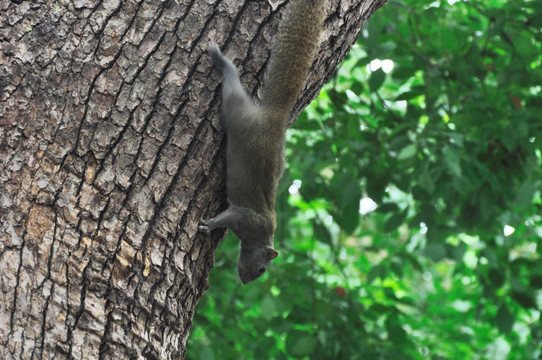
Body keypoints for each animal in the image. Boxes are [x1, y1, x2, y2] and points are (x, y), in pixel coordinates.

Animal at [200, 0, 328, 284]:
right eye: (262, 269)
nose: (246, 281)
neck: (261, 236)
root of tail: (275, 120)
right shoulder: (244, 218)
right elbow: (226, 217)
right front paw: (209, 225)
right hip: (237, 113)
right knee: (232, 82)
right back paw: (222, 60)